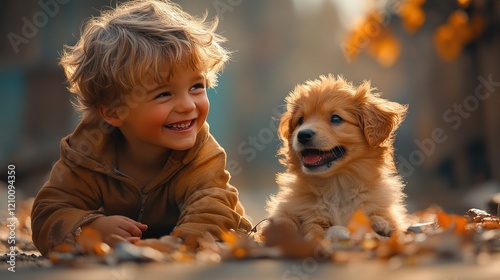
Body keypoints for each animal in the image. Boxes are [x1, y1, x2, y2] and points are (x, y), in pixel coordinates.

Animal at [268, 75, 408, 241]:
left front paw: (380, 224)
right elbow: (306, 225)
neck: (336, 186)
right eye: (301, 120)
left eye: (335, 118)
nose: (302, 135)